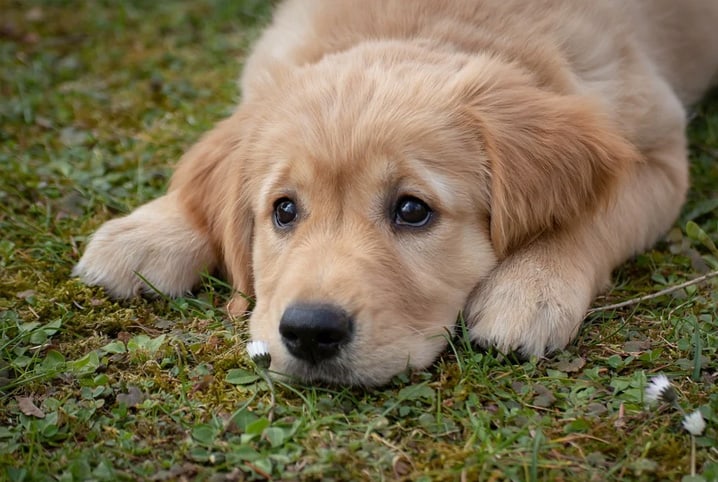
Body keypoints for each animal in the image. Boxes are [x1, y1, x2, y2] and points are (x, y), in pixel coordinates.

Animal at [74, 0, 718, 384]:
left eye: (412, 210)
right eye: (283, 210)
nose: (309, 332)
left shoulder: (658, 150)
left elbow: (594, 215)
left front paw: (532, 287)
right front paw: (149, 231)